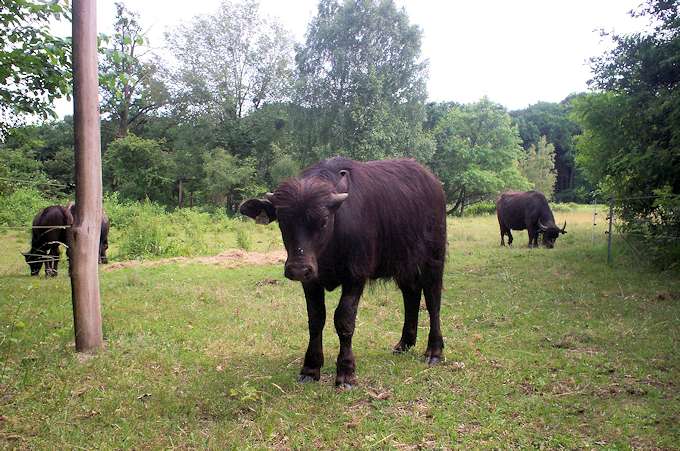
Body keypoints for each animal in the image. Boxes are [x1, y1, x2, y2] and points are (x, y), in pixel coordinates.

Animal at [239, 158, 446, 388]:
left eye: (323, 220)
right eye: (283, 222)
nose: (298, 269)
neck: (332, 244)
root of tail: (433, 183)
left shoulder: (356, 276)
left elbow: (344, 319)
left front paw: (346, 372)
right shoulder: (311, 281)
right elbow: (315, 319)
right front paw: (310, 368)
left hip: (434, 258)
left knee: (433, 300)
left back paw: (434, 351)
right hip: (403, 264)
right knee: (411, 295)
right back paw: (404, 344)